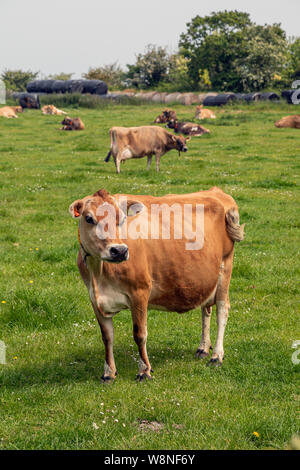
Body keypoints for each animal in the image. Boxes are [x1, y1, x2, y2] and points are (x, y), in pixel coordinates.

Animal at [69, 185, 245, 380]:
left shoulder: (140, 292)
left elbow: (140, 334)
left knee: (222, 310)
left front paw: (144, 370)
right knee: (206, 310)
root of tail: (216, 191)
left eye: (122, 219)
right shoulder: (95, 298)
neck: (98, 274)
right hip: (205, 277)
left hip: (225, 268)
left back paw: (217, 356)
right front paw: (108, 373)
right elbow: (107, 337)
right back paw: (203, 348)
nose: (119, 251)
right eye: (89, 218)